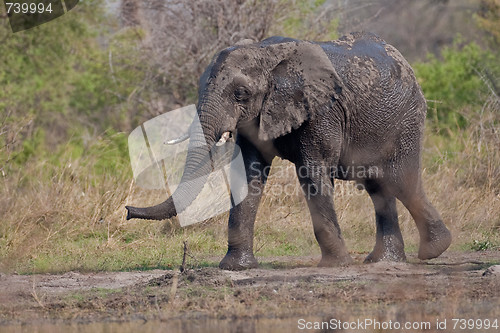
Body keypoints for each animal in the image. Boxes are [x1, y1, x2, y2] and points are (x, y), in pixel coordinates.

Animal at [126, 32, 454, 268]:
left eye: (241, 93)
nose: (127, 210)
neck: (266, 53)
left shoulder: (321, 110)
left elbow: (312, 173)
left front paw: (336, 265)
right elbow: (248, 176)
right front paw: (235, 267)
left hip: (407, 120)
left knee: (400, 180)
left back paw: (433, 251)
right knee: (379, 187)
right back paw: (382, 261)